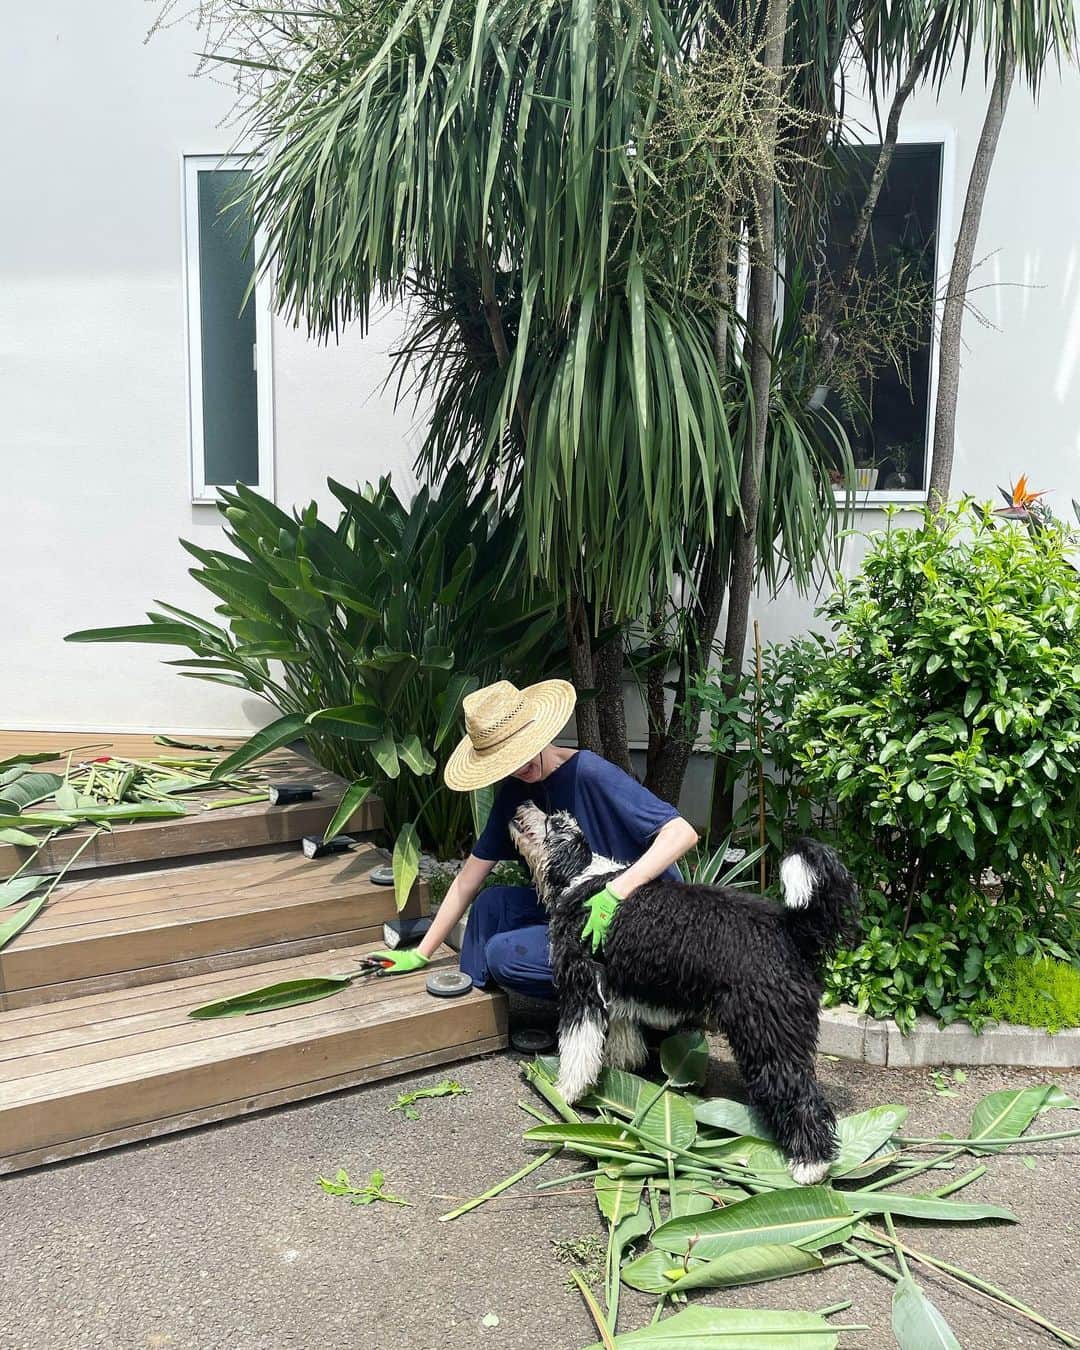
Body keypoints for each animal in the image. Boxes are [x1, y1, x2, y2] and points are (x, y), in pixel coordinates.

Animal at [507, 799, 858, 1182]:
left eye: (552, 823)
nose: (523, 803)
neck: (581, 878)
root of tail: (790, 929)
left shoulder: (581, 989)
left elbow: (577, 1049)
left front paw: (565, 1092)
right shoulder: (616, 987)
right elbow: (620, 1035)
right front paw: (620, 1068)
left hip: (768, 1035)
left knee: (801, 1097)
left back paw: (810, 1165)